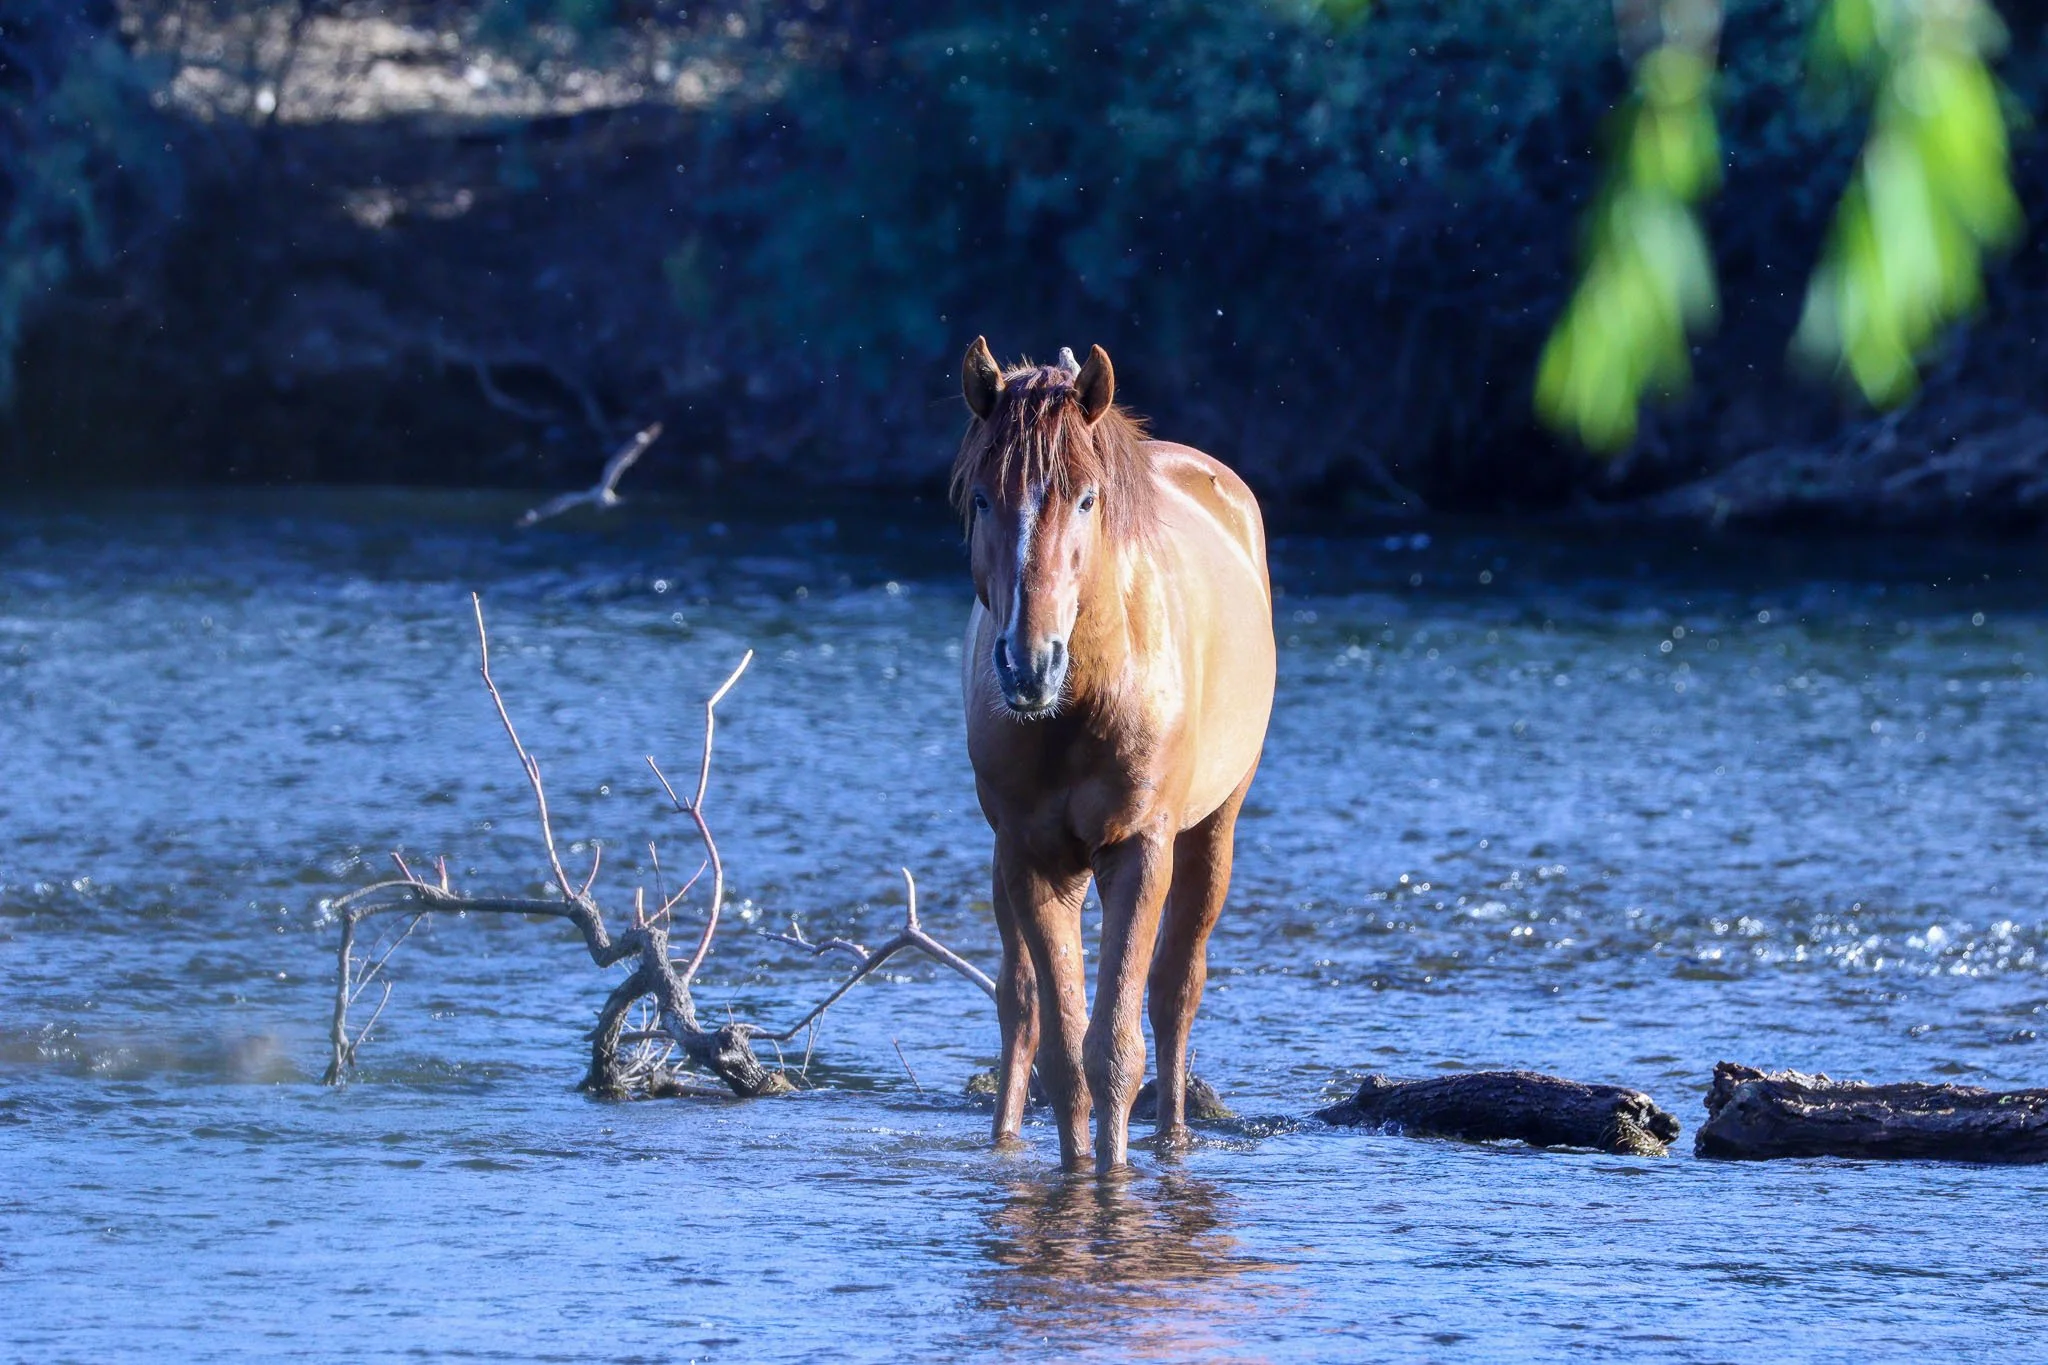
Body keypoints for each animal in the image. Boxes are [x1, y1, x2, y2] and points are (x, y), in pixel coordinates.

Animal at [953, 336, 1276, 1174]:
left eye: (1087, 499)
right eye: (982, 499)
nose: (1029, 664)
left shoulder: (1140, 849)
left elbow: (1116, 1050)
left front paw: (1114, 1174)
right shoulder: (1032, 859)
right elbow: (1065, 1051)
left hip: (1212, 832)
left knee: (1175, 993)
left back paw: (1173, 1138)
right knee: (1019, 1003)